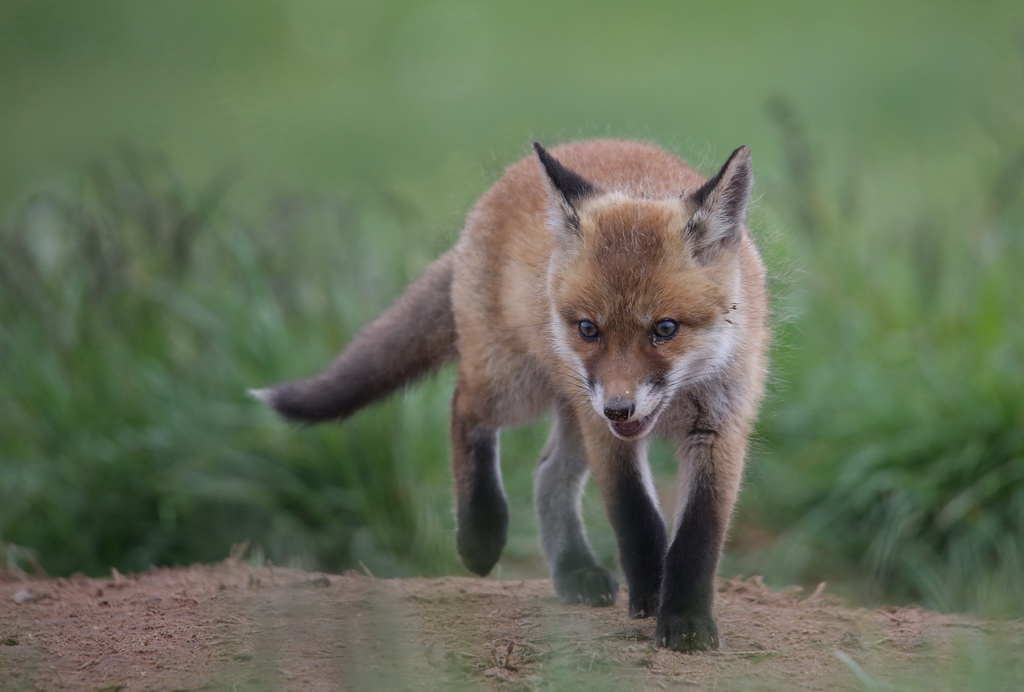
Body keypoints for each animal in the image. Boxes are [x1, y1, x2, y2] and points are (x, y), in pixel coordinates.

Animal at [253, 138, 770, 651]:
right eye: (589, 329)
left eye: (665, 329)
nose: (619, 409)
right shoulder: (606, 432)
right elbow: (635, 517)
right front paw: (651, 593)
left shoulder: (718, 427)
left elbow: (699, 534)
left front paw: (685, 618)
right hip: (522, 387)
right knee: (463, 408)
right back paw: (480, 534)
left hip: (572, 405)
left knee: (546, 474)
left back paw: (574, 569)